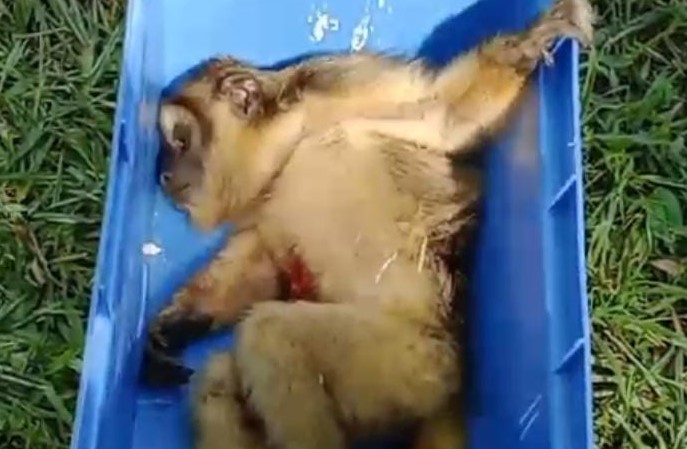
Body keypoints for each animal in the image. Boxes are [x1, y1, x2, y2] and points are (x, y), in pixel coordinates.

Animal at [141, 2, 594, 449]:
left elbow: (442, 119)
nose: (163, 175)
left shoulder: (347, 85)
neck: (292, 143)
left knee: (271, 334)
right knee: (218, 375)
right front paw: (174, 328)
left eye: (179, 140)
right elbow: (266, 265)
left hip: (413, 368)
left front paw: (529, 43)